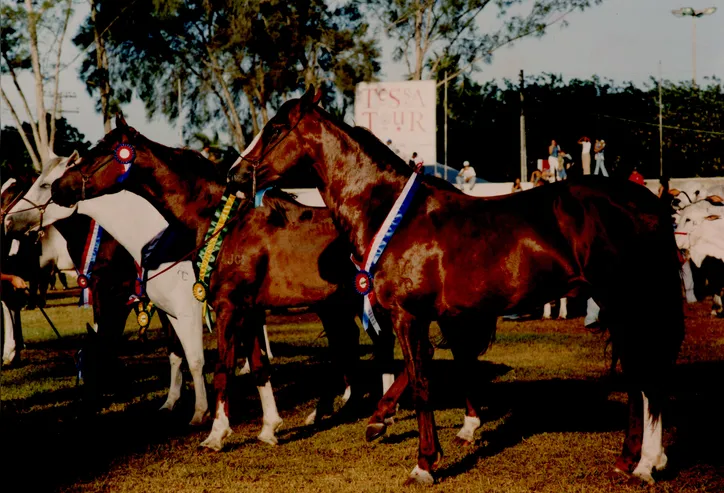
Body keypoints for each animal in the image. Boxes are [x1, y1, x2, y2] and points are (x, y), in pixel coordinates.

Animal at [51, 116, 402, 450]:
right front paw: (269, 429)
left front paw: (216, 434)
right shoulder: (250, 310)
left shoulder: (226, 307)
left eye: (101, 152)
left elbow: (221, 368)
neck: (222, 223)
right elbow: (259, 367)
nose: (58, 187)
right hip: (338, 304)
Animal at [229, 88, 688, 484]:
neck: (394, 214)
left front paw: (423, 464)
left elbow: (421, 383)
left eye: (274, 128)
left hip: (628, 301)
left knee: (648, 376)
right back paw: (630, 459)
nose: (235, 174)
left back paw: (645, 465)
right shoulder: (441, 316)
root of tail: (648, 202)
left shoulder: (408, 316)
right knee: (638, 378)